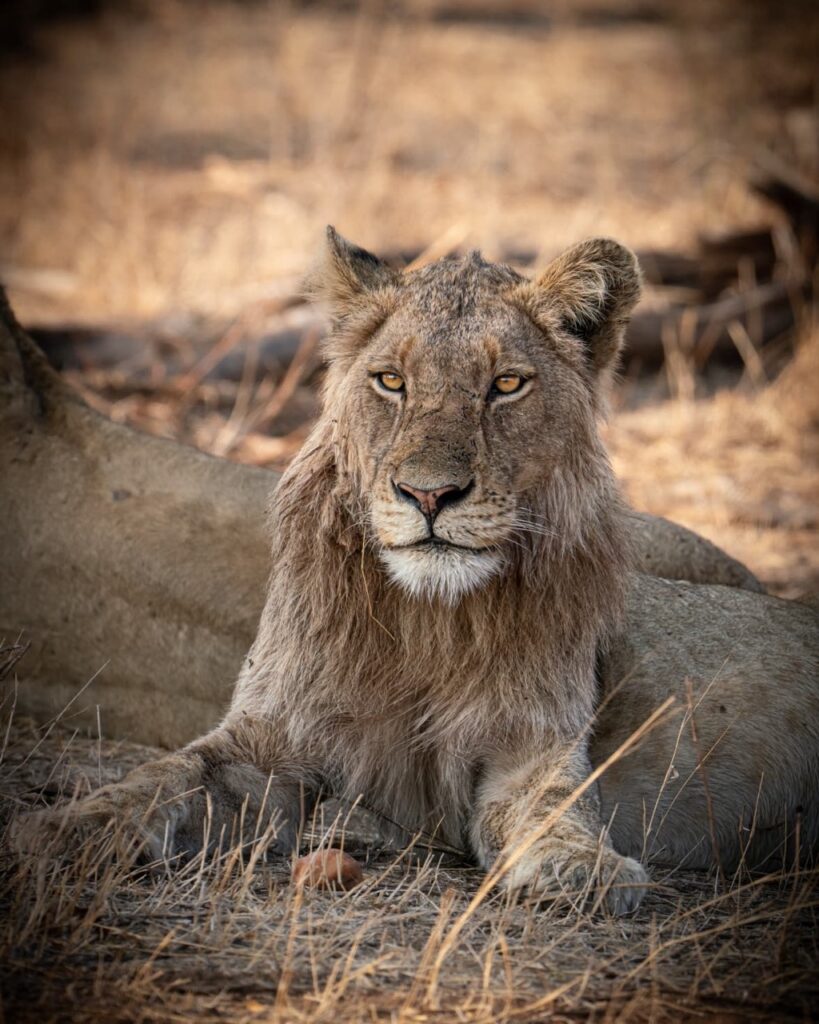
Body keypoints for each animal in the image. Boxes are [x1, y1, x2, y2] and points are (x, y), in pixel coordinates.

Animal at [14, 230, 819, 915]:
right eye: (391, 381)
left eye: (506, 384)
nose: (429, 495)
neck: (429, 620)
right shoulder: (268, 737)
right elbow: (155, 782)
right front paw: (53, 833)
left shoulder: (532, 743)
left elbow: (553, 806)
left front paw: (580, 867)